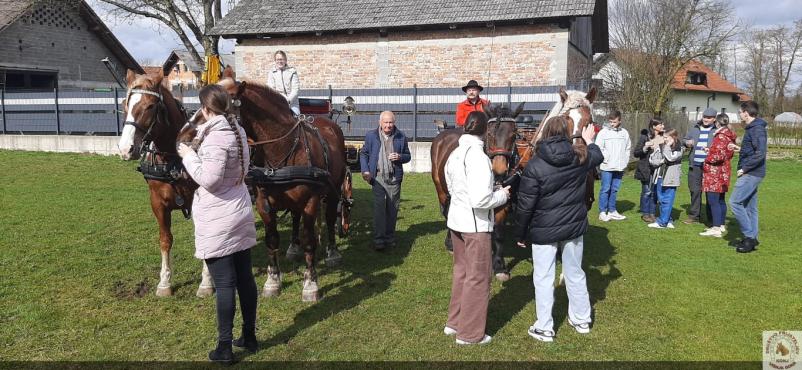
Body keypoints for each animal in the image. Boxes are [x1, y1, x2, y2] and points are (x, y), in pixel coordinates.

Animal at [115, 68, 214, 298]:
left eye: (151, 106)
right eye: (125, 104)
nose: (125, 149)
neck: (173, 159)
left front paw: (206, 283)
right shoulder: (157, 204)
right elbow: (165, 239)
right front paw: (164, 283)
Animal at [192, 71, 346, 302]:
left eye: (219, 107)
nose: (191, 137)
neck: (283, 147)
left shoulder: (310, 202)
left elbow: (310, 241)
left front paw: (311, 284)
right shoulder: (264, 204)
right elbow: (271, 240)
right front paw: (273, 281)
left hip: (334, 190)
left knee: (328, 217)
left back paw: (333, 252)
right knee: (295, 216)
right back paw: (293, 247)